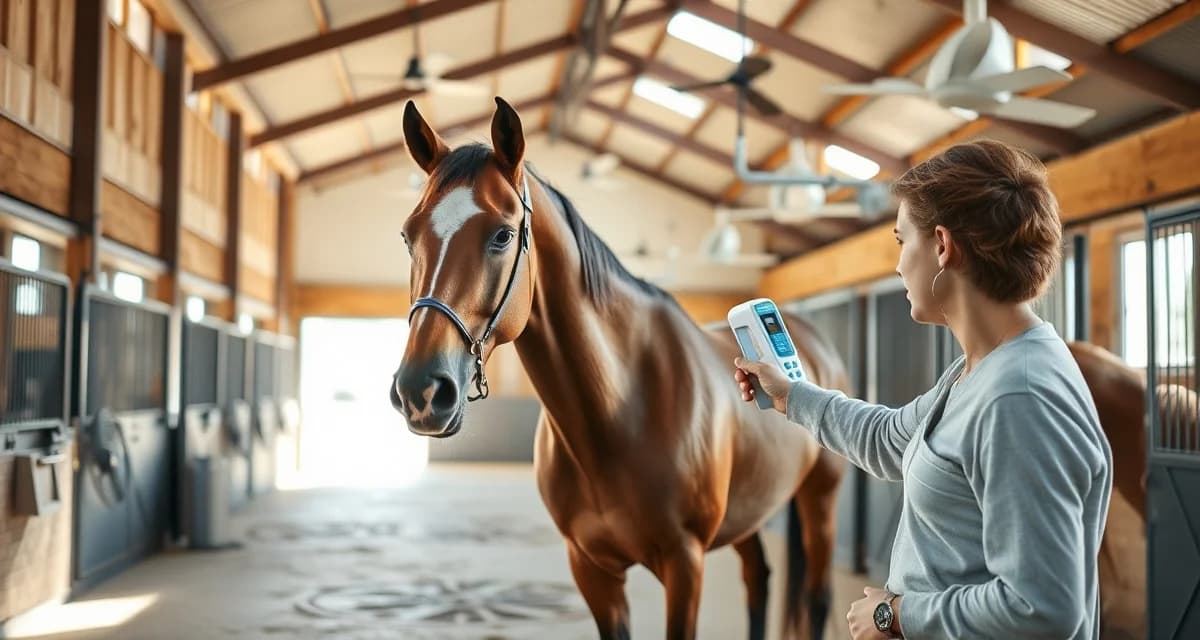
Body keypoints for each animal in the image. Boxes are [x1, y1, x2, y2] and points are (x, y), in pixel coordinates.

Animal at [388, 97, 849, 640]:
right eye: (408, 236)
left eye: (502, 235)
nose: (421, 391)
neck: (619, 408)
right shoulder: (592, 570)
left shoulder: (685, 563)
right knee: (759, 579)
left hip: (820, 501)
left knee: (816, 598)